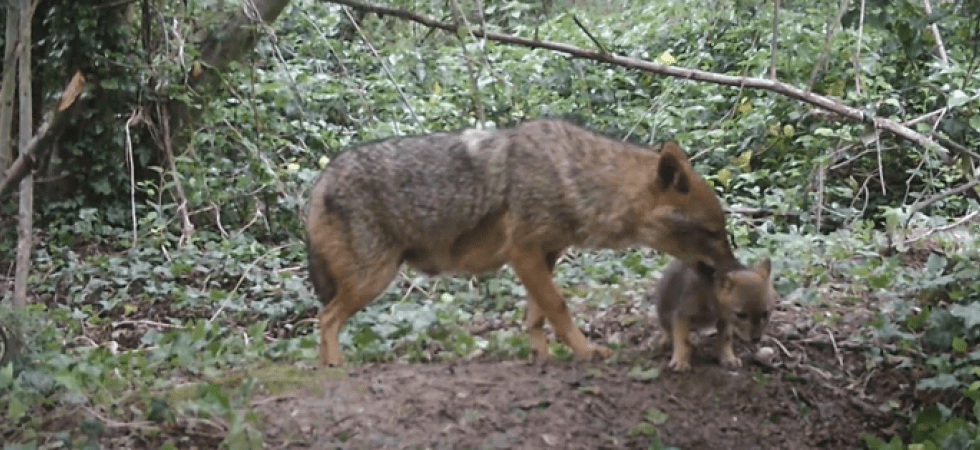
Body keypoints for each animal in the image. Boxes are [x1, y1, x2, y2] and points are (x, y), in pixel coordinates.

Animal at [305, 119, 737, 366]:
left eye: (724, 231)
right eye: (712, 232)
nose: (734, 271)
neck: (574, 179)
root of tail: (320, 180)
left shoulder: (544, 257)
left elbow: (536, 316)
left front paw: (542, 356)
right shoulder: (523, 254)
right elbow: (559, 308)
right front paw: (585, 352)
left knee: (324, 320)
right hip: (372, 281)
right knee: (325, 318)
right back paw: (336, 369)